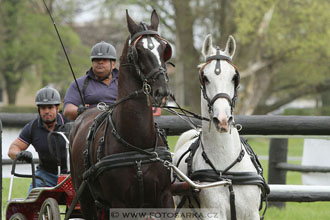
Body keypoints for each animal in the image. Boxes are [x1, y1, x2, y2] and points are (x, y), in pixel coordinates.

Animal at [69, 9, 175, 219]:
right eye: (139, 50)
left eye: (164, 49)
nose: (162, 91)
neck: (138, 145)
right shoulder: (120, 203)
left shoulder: (164, 197)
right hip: (84, 196)